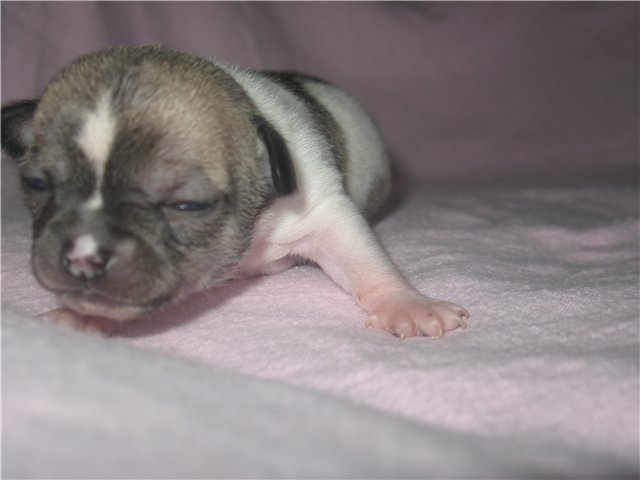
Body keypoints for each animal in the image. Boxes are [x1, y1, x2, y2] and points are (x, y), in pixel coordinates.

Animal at [1, 45, 469, 337]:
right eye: (36, 184)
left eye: (188, 205)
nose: (81, 256)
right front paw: (86, 318)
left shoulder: (324, 212)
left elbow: (366, 263)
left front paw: (407, 304)